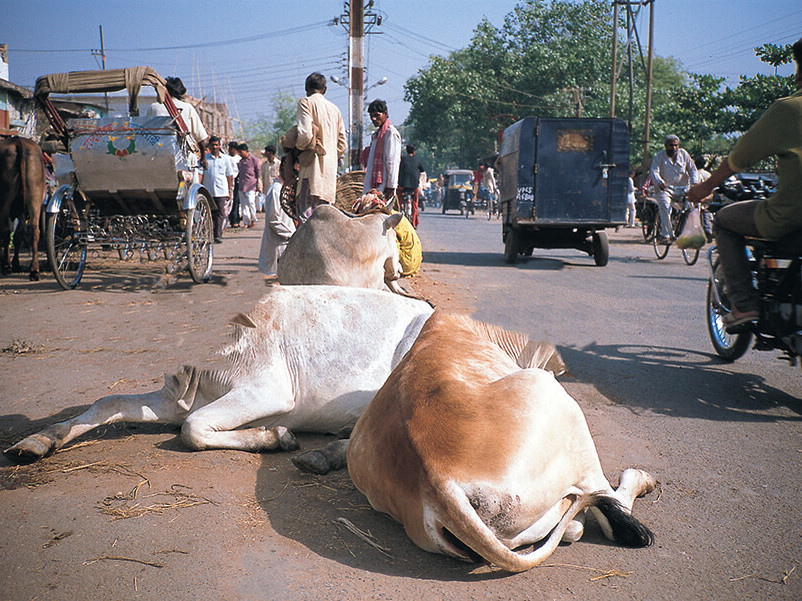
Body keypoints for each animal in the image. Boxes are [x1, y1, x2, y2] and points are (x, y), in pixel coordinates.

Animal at [0, 136, 46, 281]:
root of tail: (18, 141)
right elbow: (18, 235)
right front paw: (16, 264)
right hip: (35, 199)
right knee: (34, 230)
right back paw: (34, 270)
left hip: (5, 200)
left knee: (6, 231)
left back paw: (6, 266)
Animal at [4, 285, 433, 463]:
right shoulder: (174, 396)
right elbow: (109, 401)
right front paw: (37, 441)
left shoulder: (268, 390)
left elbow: (192, 428)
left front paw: (273, 436)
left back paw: (323, 454)